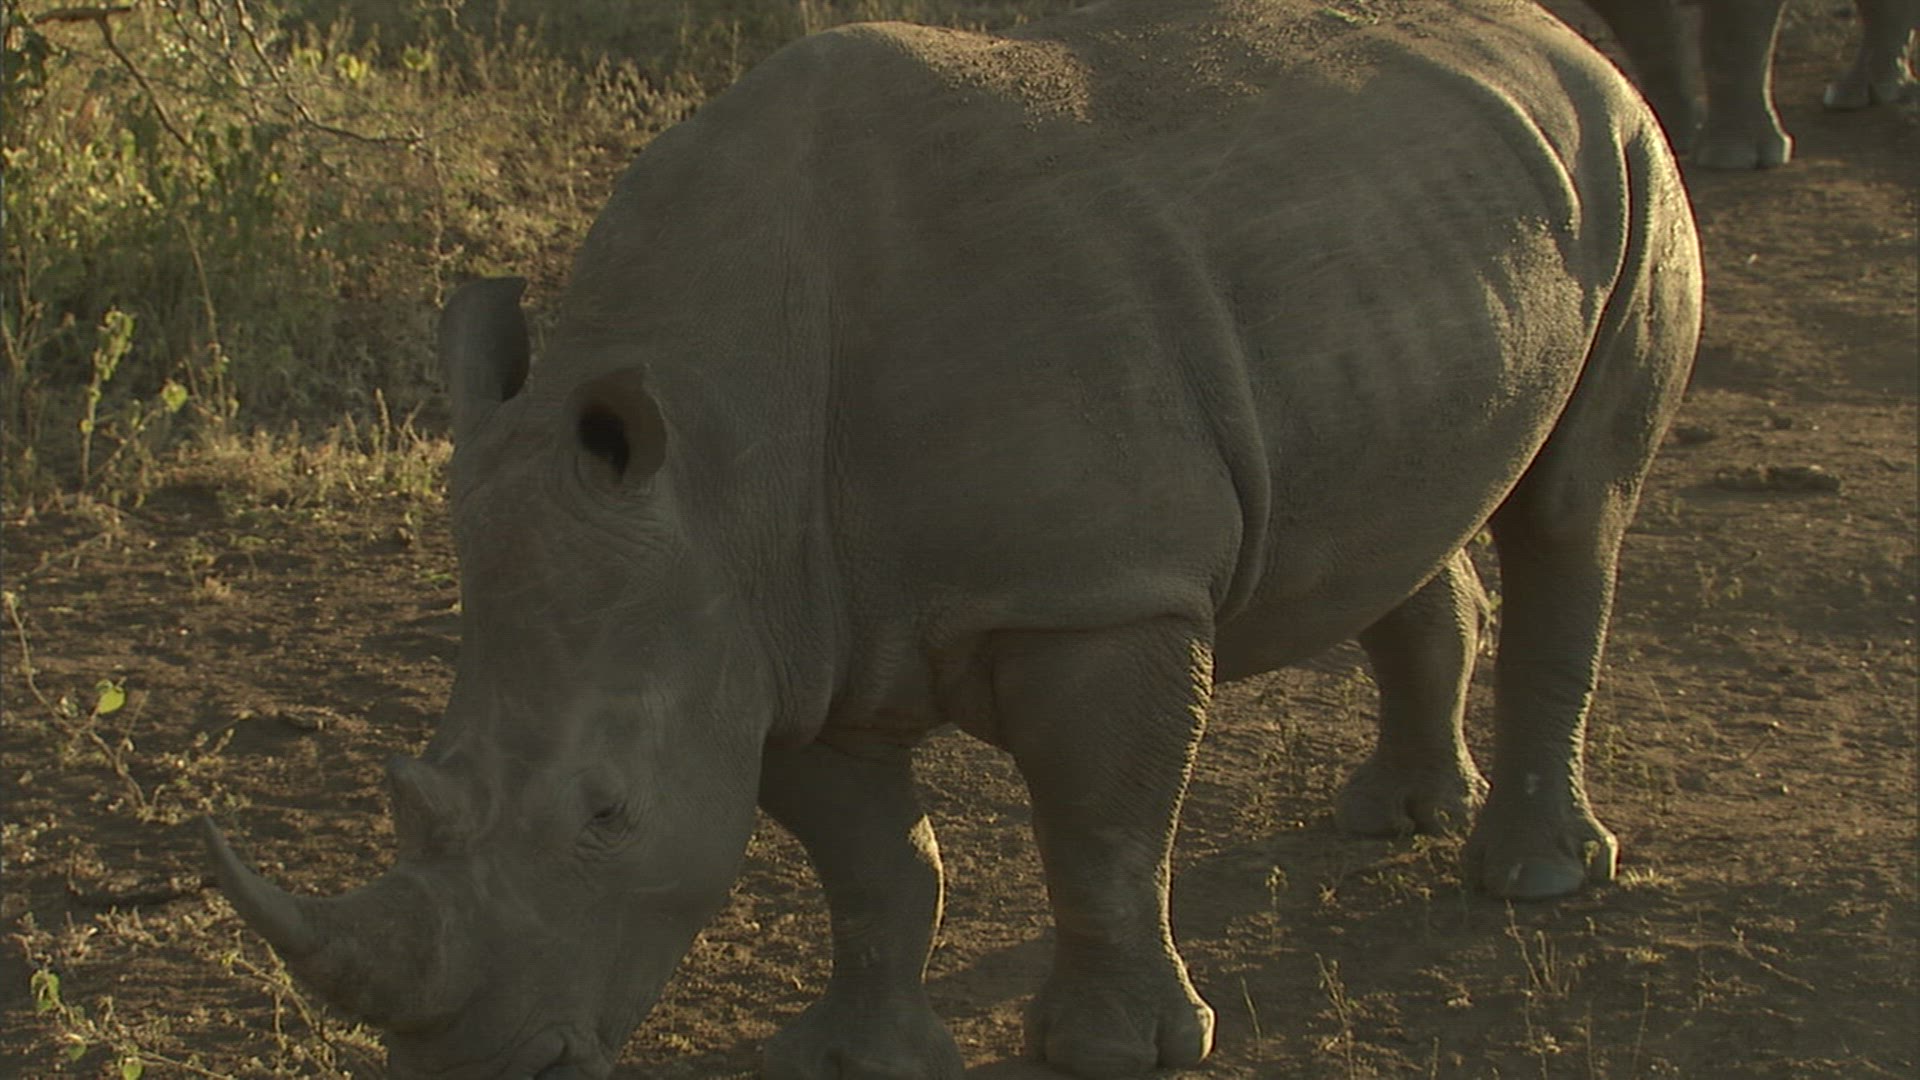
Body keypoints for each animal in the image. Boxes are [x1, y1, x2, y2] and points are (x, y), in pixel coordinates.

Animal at [202, 1, 1702, 1076]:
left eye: (607, 815)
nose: (462, 1064)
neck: (723, 451)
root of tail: (1569, 36)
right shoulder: (773, 626)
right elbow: (870, 856)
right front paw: (849, 1055)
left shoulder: (1096, 590)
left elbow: (1101, 829)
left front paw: (1114, 1055)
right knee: (1408, 505)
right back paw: (1392, 818)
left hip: (1629, 155)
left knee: (1572, 506)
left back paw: (1534, 879)